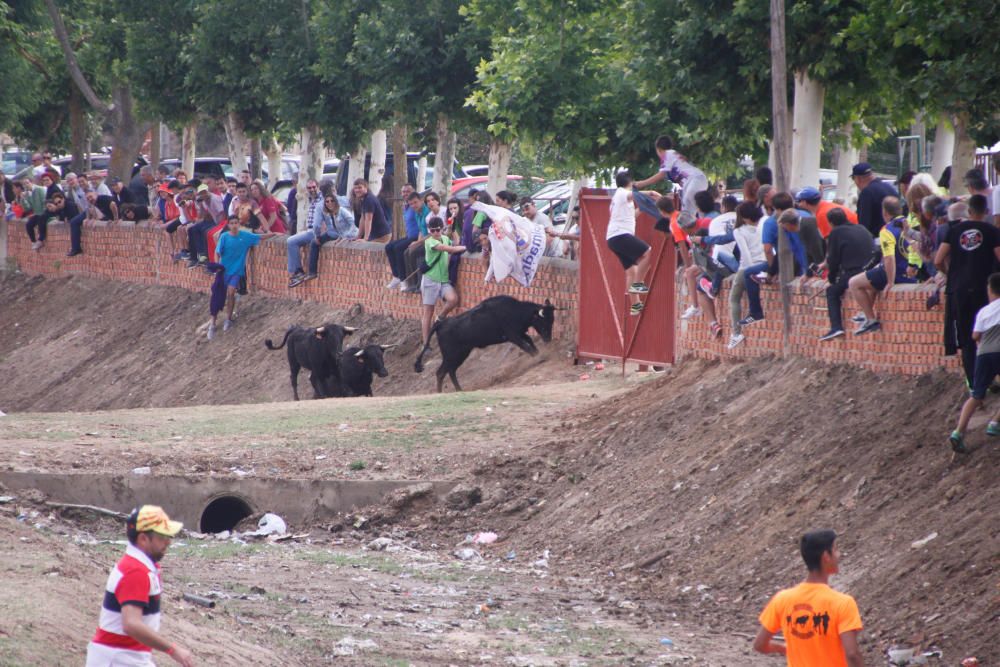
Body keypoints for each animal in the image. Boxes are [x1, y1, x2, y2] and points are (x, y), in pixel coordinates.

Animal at [412, 296, 556, 394]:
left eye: (552, 319)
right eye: (544, 320)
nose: (548, 338)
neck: (515, 311)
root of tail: (441, 323)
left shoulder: (520, 333)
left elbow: (530, 342)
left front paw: (539, 354)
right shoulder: (513, 336)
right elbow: (527, 347)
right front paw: (538, 357)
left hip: (461, 354)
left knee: (450, 370)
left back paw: (459, 390)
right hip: (451, 355)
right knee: (441, 372)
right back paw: (441, 392)